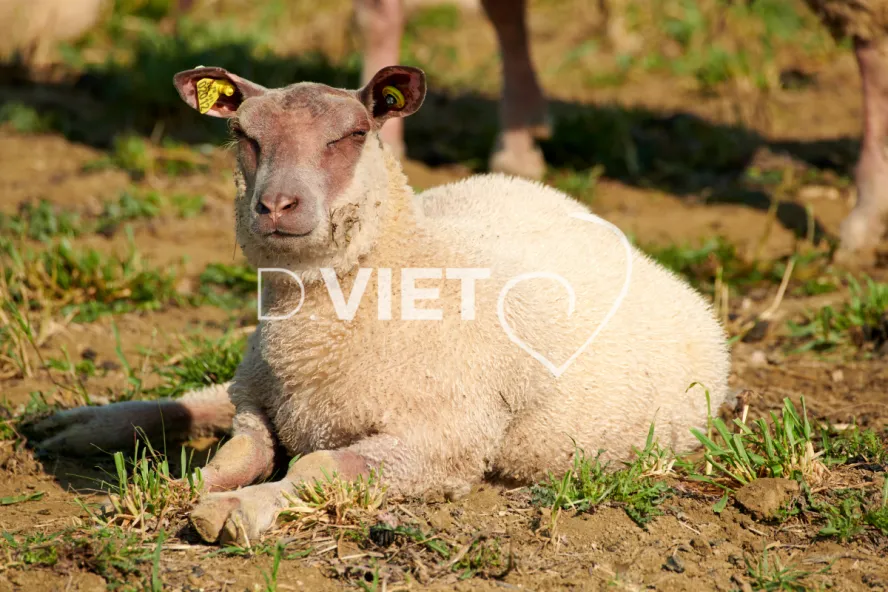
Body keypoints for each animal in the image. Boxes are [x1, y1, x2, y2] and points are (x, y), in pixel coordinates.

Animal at [34, 64, 731, 545]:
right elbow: (238, 454)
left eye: (353, 133)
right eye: (241, 133)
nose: (276, 205)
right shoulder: (262, 404)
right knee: (204, 396)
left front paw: (236, 511)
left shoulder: (439, 446)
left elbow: (313, 467)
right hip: (251, 368)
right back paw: (78, 424)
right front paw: (166, 491)